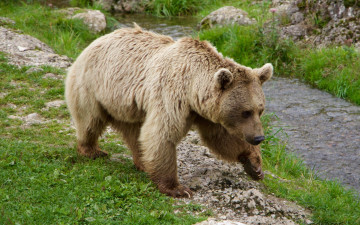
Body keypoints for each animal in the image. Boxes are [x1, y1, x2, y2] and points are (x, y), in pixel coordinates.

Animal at [65, 23, 272, 198]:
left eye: (260, 110)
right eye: (246, 112)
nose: (258, 138)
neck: (192, 88)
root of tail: (94, 42)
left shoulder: (205, 112)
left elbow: (221, 137)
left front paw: (254, 165)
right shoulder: (171, 95)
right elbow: (162, 134)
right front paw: (177, 188)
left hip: (127, 105)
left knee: (134, 132)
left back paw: (142, 162)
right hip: (93, 87)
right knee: (90, 120)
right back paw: (92, 150)